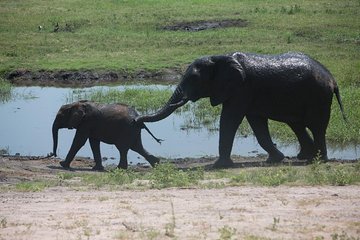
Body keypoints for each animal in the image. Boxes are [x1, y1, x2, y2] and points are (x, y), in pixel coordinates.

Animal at [135, 52, 346, 169]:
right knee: (297, 124)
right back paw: (305, 157)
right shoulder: (246, 94)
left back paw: (318, 161)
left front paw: (218, 166)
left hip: (318, 96)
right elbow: (257, 123)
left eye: (194, 79)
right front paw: (274, 160)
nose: (137, 120)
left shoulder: (242, 89)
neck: (219, 58)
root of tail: (332, 79)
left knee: (316, 126)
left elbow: (230, 119)